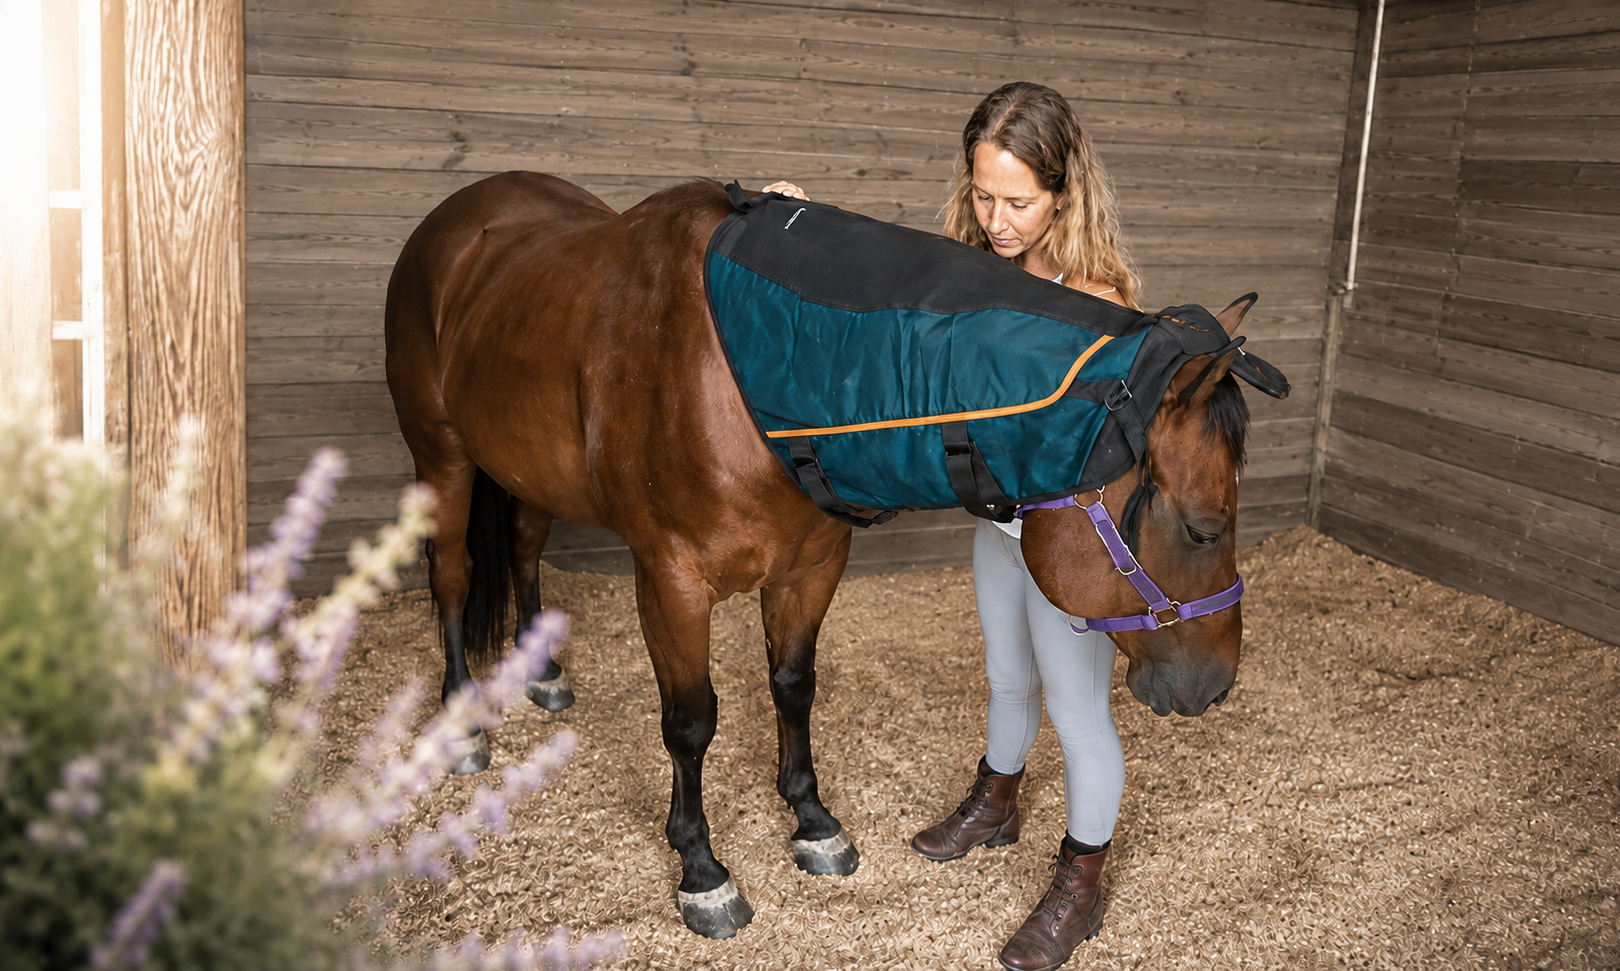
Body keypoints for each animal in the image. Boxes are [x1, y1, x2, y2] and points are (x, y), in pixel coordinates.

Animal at [383, 172, 1253, 938]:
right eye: (1204, 528)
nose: (1215, 687)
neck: (742, 375)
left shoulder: (811, 565)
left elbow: (794, 686)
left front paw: (810, 820)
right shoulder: (670, 581)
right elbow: (691, 722)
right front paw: (702, 869)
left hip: (523, 466)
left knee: (524, 548)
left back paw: (542, 672)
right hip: (443, 456)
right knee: (453, 575)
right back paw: (461, 720)